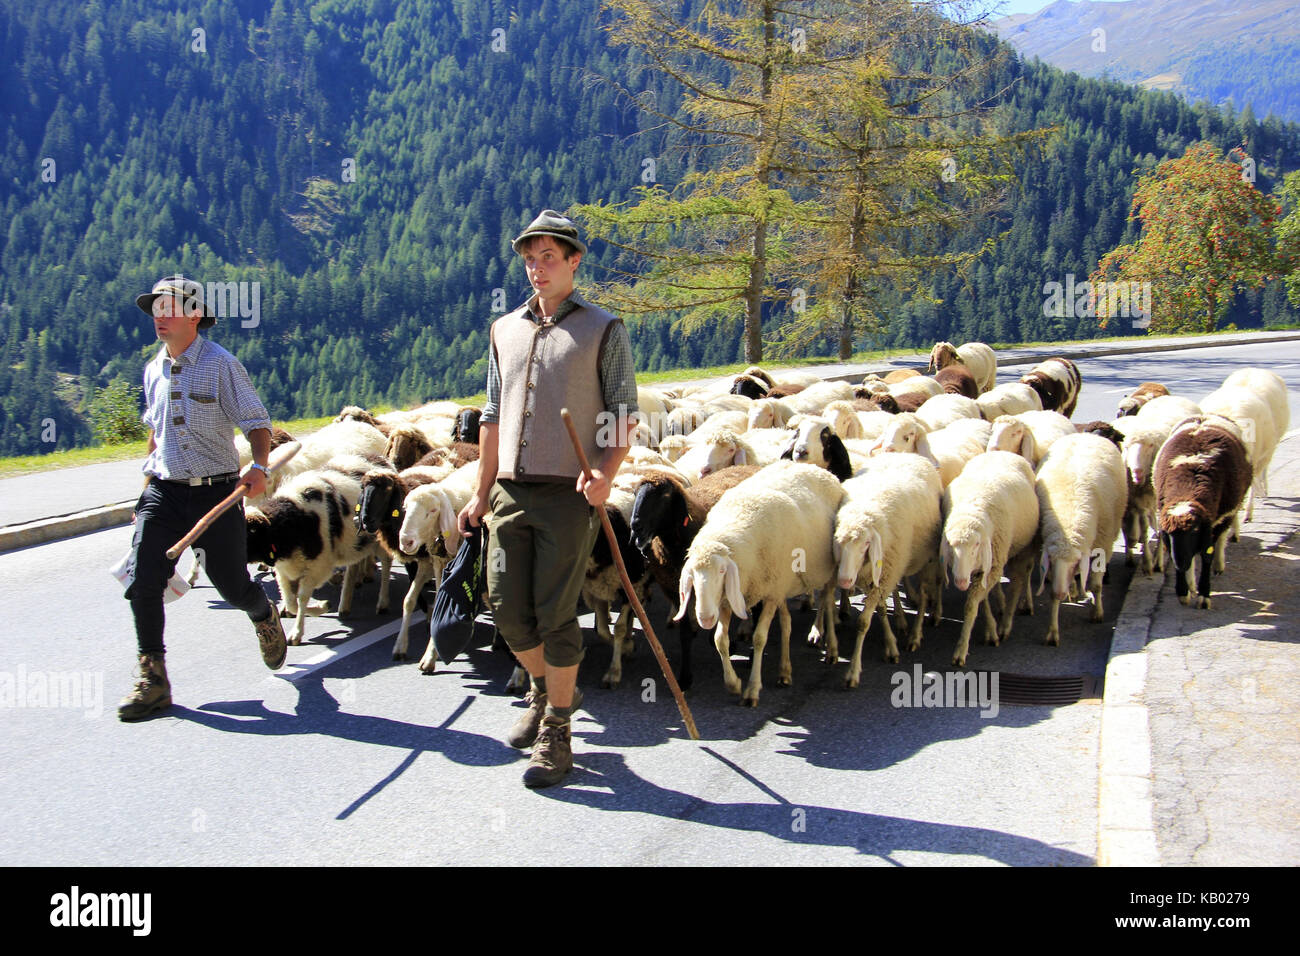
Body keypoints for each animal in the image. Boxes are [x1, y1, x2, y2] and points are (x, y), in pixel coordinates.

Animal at [676, 460, 847, 707]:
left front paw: (752, 689)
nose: (705, 618)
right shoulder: (731, 598)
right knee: (787, 622)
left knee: (827, 601)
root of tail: (818, 468)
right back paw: (785, 671)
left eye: (721, 571)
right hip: (782, 583)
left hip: (826, 571)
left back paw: (829, 644)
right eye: (692, 575)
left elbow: (759, 638)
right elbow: (720, 640)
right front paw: (733, 683)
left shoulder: (768, 594)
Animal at [832, 460, 946, 686]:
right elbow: (882, 610)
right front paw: (890, 644)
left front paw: (853, 671)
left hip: (925, 556)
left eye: (866, 544)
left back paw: (915, 634)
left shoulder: (885, 572)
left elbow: (863, 623)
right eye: (838, 543)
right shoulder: (881, 574)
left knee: (924, 594)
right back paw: (901, 619)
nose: (845, 581)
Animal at [941, 452, 1040, 671]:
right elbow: (980, 600)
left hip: (1022, 546)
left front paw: (961, 649)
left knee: (1019, 582)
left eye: (977, 544)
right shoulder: (983, 569)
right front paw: (990, 629)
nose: (960, 582)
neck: (971, 507)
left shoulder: (993, 563)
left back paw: (1007, 622)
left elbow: (971, 605)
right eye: (950, 544)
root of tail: (1002, 452)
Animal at [1034, 434, 1128, 650]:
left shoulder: (1103, 544)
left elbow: (1096, 585)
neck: (1068, 524)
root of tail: (1086, 434)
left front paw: (1097, 612)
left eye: (1075, 563)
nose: (1061, 593)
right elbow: (1053, 595)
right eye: (1052, 562)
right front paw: (1053, 632)